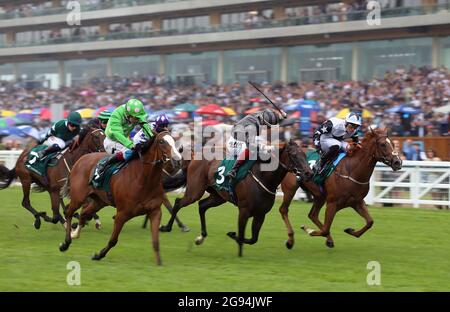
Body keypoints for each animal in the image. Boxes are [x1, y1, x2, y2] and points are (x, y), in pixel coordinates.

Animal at [58, 132, 181, 266]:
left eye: (174, 140)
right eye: (162, 142)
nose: (178, 159)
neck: (143, 179)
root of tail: (80, 159)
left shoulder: (155, 211)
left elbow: (155, 241)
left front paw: (159, 263)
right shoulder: (122, 214)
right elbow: (113, 240)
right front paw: (98, 255)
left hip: (100, 201)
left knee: (84, 213)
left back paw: (75, 234)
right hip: (78, 197)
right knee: (69, 211)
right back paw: (66, 242)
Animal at [159, 140, 312, 258]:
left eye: (305, 155)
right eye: (294, 155)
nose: (308, 173)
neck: (263, 176)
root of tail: (193, 158)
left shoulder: (260, 214)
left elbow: (253, 238)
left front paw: (234, 236)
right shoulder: (243, 211)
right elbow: (242, 234)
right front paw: (236, 243)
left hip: (218, 196)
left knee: (202, 205)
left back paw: (201, 237)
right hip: (195, 191)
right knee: (178, 203)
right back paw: (167, 227)